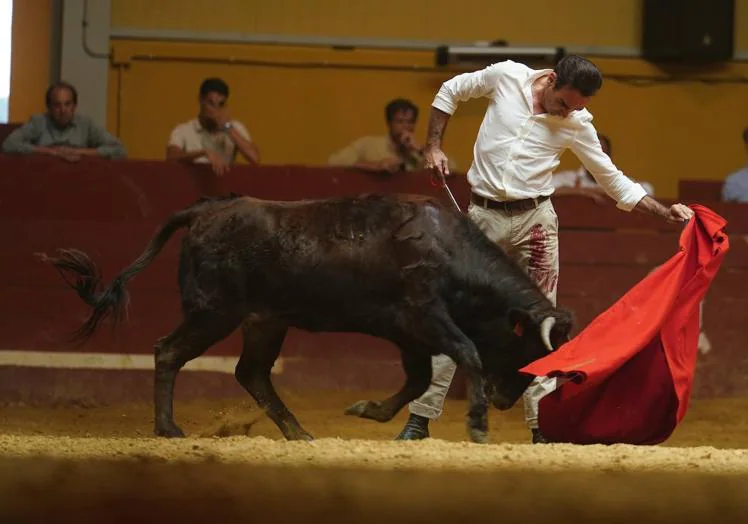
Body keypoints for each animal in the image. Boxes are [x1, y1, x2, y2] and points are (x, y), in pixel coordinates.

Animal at [41, 192, 572, 442]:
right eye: (526, 349)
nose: (505, 401)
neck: (449, 250)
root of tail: (204, 212)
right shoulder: (424, 317)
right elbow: (467, 353)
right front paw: (478, 424)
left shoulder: (408, 332)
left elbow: (419, 377)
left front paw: (368, 410)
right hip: (214, 312)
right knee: (169, 352)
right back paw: (168, 428)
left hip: (264, 321)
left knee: (252, 372)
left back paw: (298, 432)